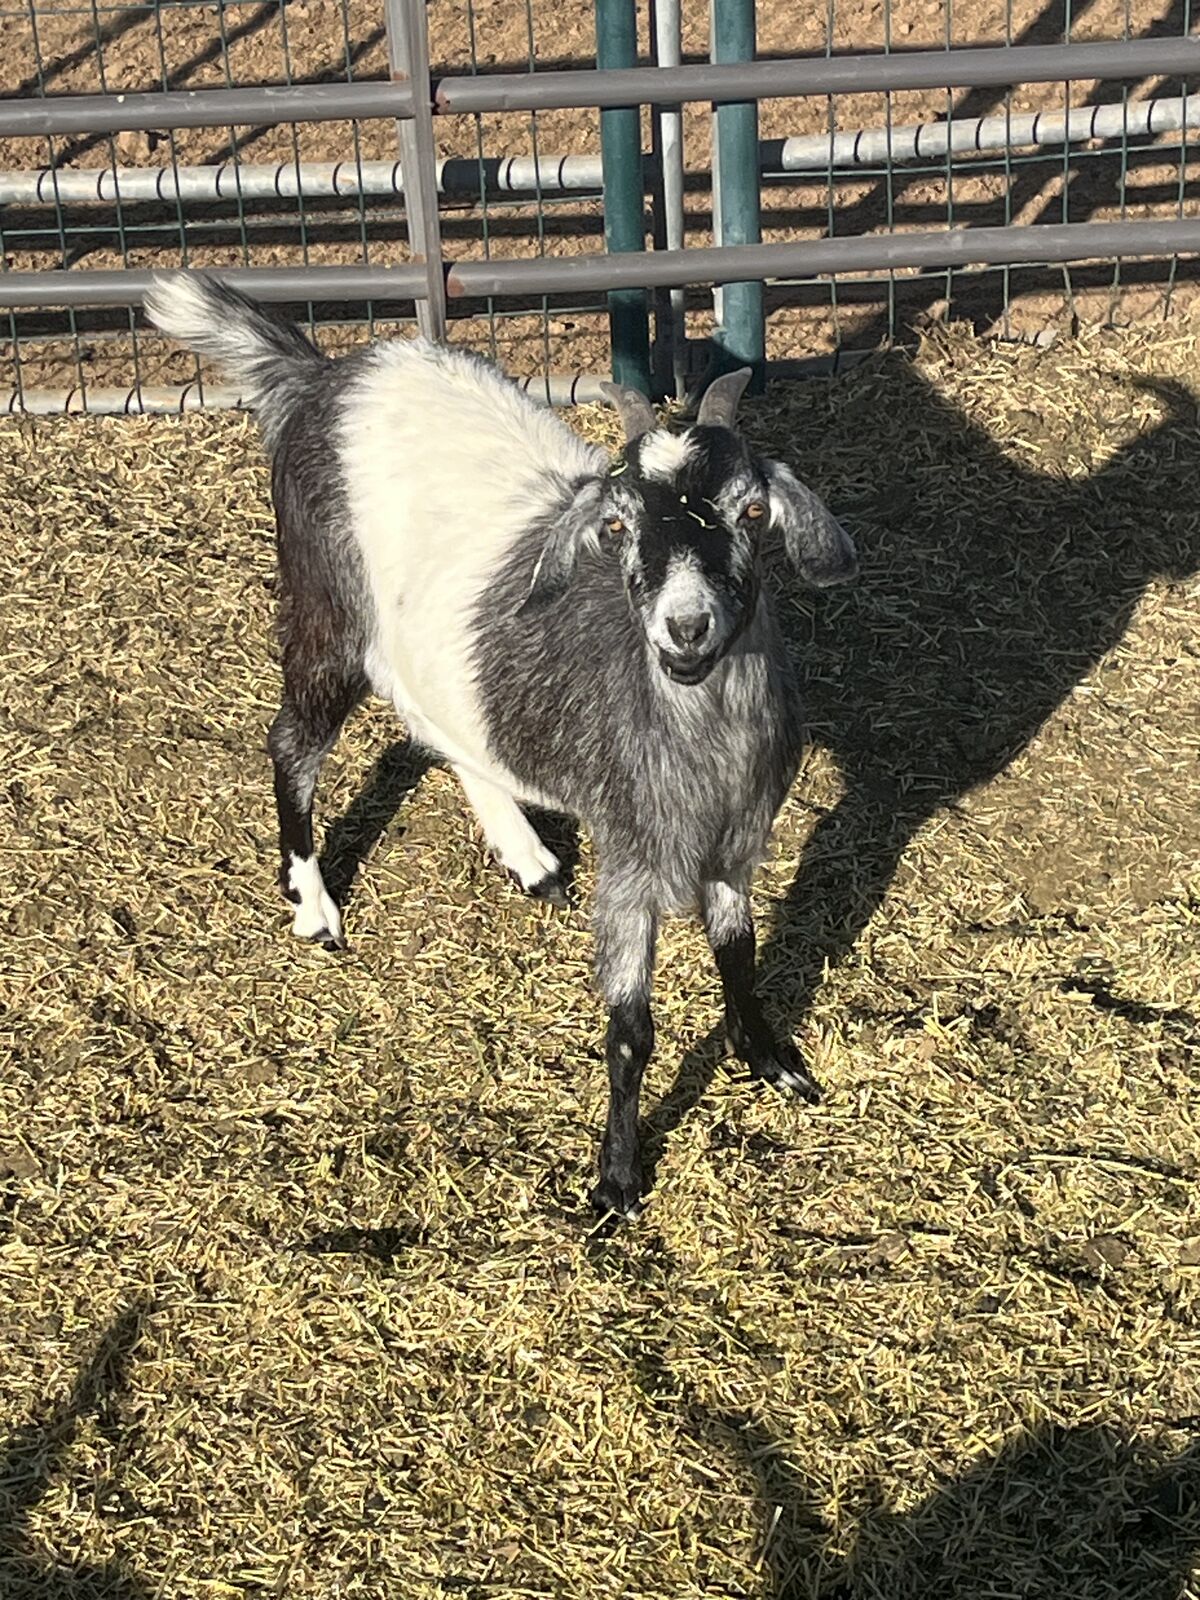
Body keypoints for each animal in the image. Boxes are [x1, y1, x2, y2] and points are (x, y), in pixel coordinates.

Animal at [143, 272, 858, 1216]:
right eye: (618, 525)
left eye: (750, 511)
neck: (702, 743)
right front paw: (617, 1181)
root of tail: (319, 379)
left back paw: (528, 859)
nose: (686, 627)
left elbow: (739, 954)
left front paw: (770, 1058)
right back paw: (313, 902)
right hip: (328, 605)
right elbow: (631, 1030)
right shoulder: (630, 858)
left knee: (433, 721)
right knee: (291, 741)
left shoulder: (736, 844)